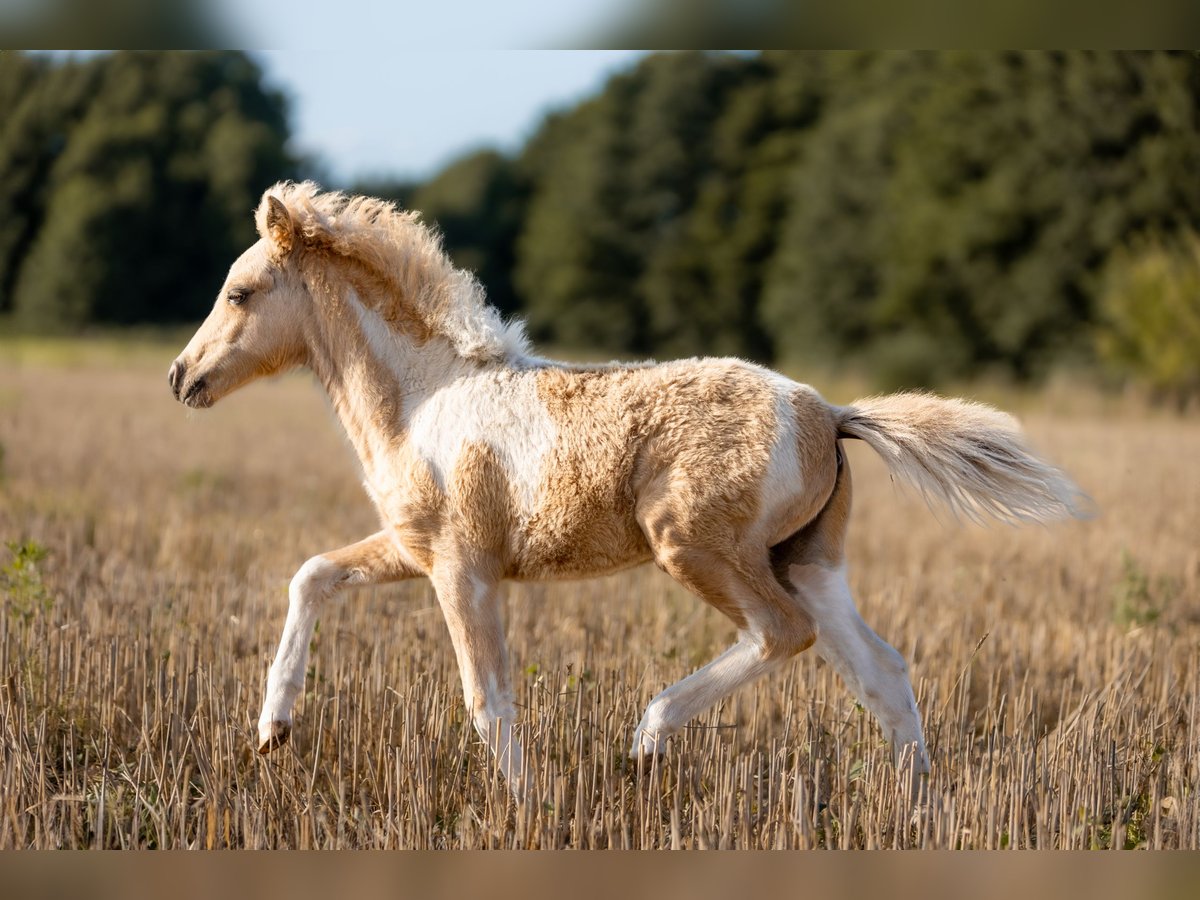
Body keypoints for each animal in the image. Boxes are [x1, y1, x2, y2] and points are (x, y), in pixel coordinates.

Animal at [166, 181, 1089, 796]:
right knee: (882, 671)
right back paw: (917, 806)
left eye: (241, 291)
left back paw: (648, 738)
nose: (181, 377)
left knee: (783, 635)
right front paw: (273, 729)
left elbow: (487, 698)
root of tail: (829, 411)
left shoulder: (463, 566)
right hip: (810, 561)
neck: (423, 399)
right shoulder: (412, 548)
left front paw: (526, 808)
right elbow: (312, 575)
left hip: (699, 549)